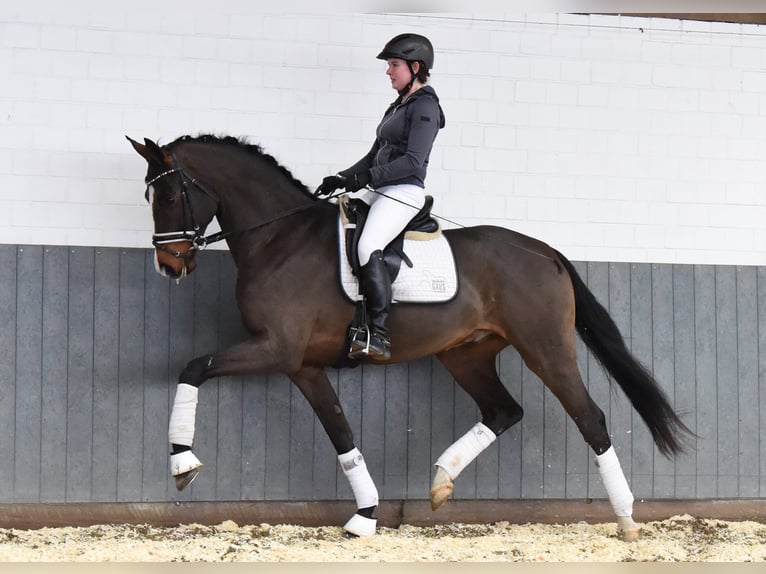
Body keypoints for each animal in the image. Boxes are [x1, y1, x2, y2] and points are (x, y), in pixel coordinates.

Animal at [129, 135, 692, 544]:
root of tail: (544, 251)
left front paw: (182, 463)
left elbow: (193, 367)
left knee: (589, 418)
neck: (280, 239)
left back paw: (627, 521)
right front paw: (365, 515)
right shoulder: (302, 365)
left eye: (172, 194)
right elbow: (341, 434)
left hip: (546, 348)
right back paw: (441, 482)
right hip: (466, 355)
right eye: (149, 195)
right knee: (503, 411)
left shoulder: (276, 348)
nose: (169, 266)